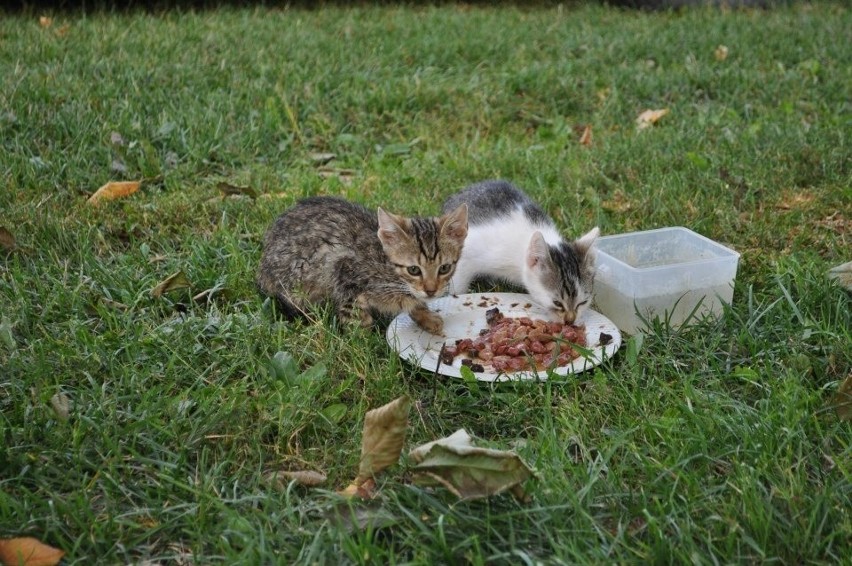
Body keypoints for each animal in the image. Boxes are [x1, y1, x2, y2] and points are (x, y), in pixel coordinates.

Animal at [256, 197, 470, 336]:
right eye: (414, 270)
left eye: (444, 268)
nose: (431, 291)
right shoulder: (344, 272)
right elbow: (356, 318)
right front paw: (365, 343)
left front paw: (425, 316)